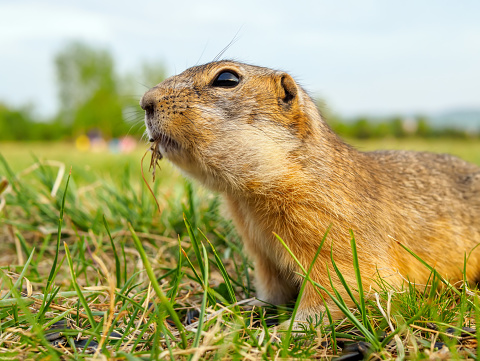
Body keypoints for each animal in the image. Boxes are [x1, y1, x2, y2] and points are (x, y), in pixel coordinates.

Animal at [140, 59, 480, 324]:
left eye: (226, 79)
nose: (145, 100)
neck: (248, 198)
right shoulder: (262, 255)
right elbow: (271, 291)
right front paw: (239, 308)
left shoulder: (332, 233)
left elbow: (344, 287)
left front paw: (285, 331)